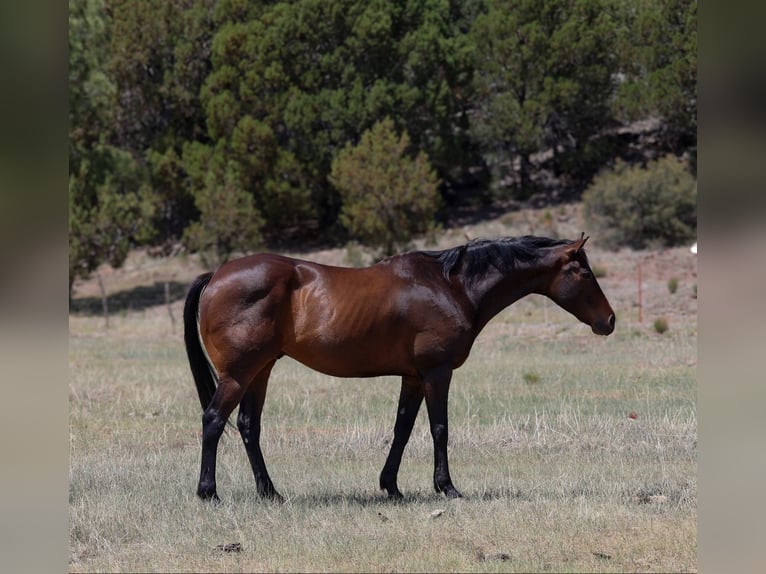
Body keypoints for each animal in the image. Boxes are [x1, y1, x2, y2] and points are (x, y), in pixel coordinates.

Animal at [183, 233, 615, 502]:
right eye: (584, 272)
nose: (609, 321)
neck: (450, 286)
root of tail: (216, 275)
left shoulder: (412, 377)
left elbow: (402, 429)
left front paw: (390, 486)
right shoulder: (437, 372)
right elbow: (439, 428)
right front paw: (447, 487)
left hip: (261, 370)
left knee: (247, 426)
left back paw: (270, 492)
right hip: (239, 375)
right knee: (214, 420)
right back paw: (209, 492)